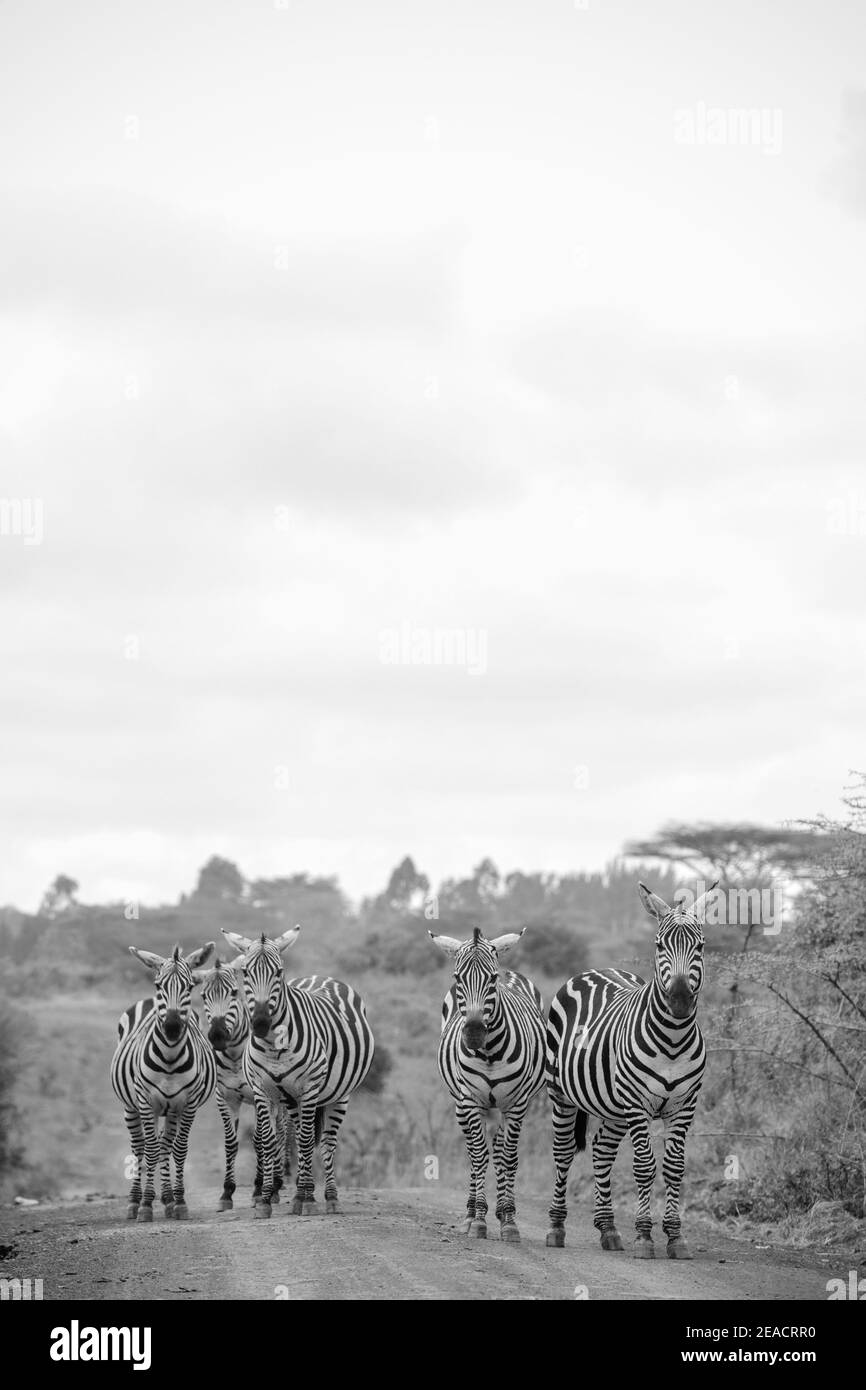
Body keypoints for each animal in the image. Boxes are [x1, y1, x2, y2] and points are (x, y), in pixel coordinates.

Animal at [109, 939, 216, 1223]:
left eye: (189, 986)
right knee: (140, 1147)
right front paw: (146, 1205)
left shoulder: (187, 1104)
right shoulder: (146, 1102)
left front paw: (179, 1202)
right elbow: (150, 1151)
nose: (172, 1027)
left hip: (171, 1110)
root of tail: (145, 1001)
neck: (169, 1057)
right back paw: (134, 1202)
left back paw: (167, 1199)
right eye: (159, 985)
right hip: (131, 1106)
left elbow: (178, 1149)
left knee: (165, 1145)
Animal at [191, 956, 294, 1206]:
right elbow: (231, 1142)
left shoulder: (258, 1095)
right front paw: (227, 1192)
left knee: (281, 1131)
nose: (218, 1036)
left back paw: (277, 1181)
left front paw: (259, 1188)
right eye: (203, 996)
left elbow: (259, 1140)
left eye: (234, 992)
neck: (234, 1056)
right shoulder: (224, 1098)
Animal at [219, 934, 372, 1217]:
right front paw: (265, 1199)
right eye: (245, 972)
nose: (260, 1023)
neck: (273, 1045)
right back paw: (300, 1192)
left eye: (279, 972)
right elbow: (269, 1141)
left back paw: (328, 1196)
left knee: (326, 1142)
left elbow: (307, 1141)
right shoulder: (262, 1090)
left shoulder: (310, 1087)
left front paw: (308, 1199)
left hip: (339, 1094)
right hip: (291, 1098)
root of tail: (321, 977)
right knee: (300, 1136)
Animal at [430, 928, 544, 1245]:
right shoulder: (470, 1100)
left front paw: (509, 1221)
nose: (473, 1034)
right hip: (462, 1105)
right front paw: (478, 1220)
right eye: (457, 978)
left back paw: (503, 1210)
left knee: (502, 1149)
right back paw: (470, 1214)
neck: (490, 1051)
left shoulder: (516, 1103)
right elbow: (479, 1155)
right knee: (473, 1148)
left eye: (492, 979)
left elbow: (508, 1157)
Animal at [542, 889, 717, 1262]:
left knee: (602, 1151)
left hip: (614, 1107)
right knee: (563, 1151)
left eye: (700, 946)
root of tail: (595, 969)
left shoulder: (685, 1106)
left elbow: (674, 1167)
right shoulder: (637, 1103)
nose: (680, 1001)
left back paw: (608, 1228)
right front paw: (645, 1236)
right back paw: (556, 1227)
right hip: (560, 1093)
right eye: (659, 944)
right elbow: (644, 1166)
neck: (673, 1039)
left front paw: (675, 1237)